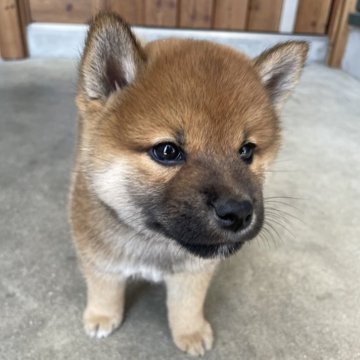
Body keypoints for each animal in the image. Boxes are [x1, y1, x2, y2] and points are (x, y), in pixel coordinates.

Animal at [69, 12, 308, 356]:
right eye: (167, 151)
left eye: (246, 151)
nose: (238, 213)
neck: (155, 244)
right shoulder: (99, 258)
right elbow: (104, 290)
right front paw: (101, 315)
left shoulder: (193, 272)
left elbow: (186, 306)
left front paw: (191, 332)